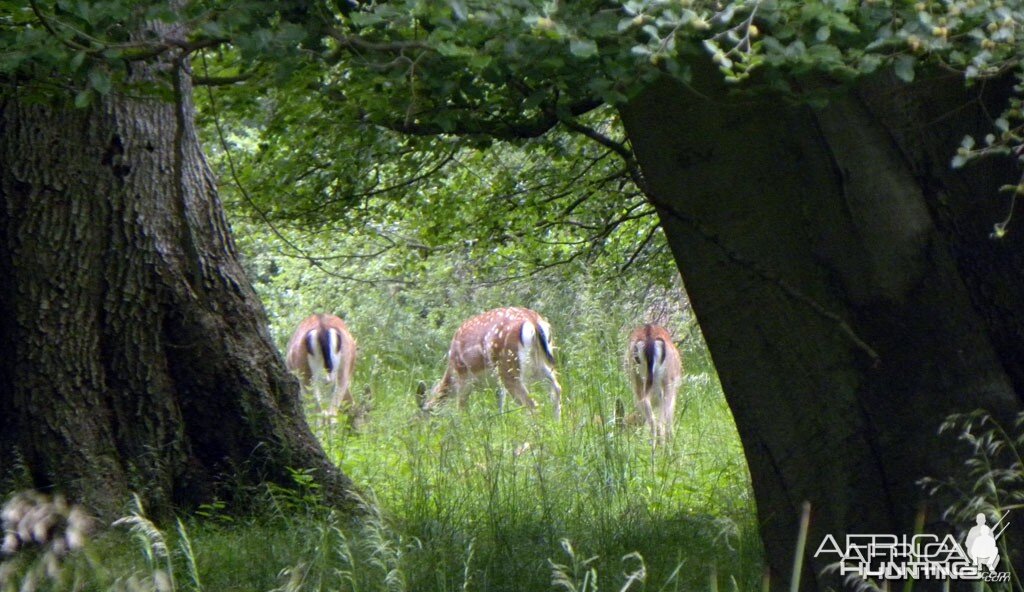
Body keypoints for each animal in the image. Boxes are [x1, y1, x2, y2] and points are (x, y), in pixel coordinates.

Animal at [421, 307, 565, 417]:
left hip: (509, 367)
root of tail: (533, 321)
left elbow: (461, 407)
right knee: (556, 390)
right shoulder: (496, 385)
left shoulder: (463, 376)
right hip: (541, 364)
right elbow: (500, 404)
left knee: (531, 404)